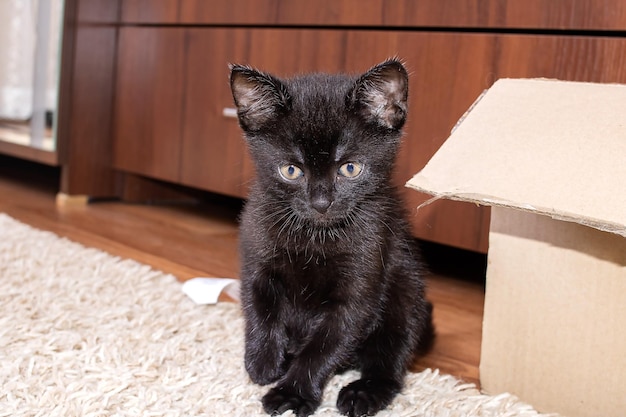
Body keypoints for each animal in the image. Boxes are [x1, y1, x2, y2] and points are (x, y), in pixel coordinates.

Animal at [230, 59, 434, 416]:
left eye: (350, 168)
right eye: (291, 170)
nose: (321, 202)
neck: (315, 236)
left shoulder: (364, 276)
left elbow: (325, 346)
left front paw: (292, 392)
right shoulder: (256, 248)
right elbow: (258, 305)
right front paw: (263, 362)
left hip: (406, 287)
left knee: (390, 358)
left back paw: (363, 392)